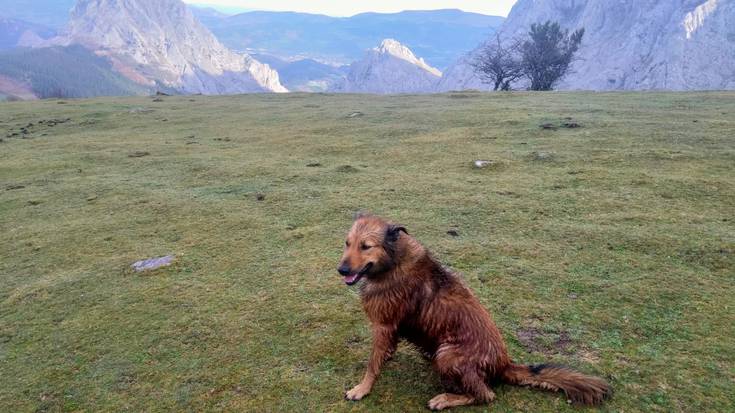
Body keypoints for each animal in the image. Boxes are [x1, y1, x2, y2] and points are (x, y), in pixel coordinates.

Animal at [340, 212, 608, 408]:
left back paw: (446, 399)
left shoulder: (383, 325)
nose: (340, 270)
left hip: (447, 353)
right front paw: (385, 358)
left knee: (485, 395)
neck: (394, 261)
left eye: (366, 246)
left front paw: (362, 389)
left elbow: (372, 364)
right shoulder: (390, 328)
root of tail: (504, 364)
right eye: (347, 243)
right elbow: (382, 353)